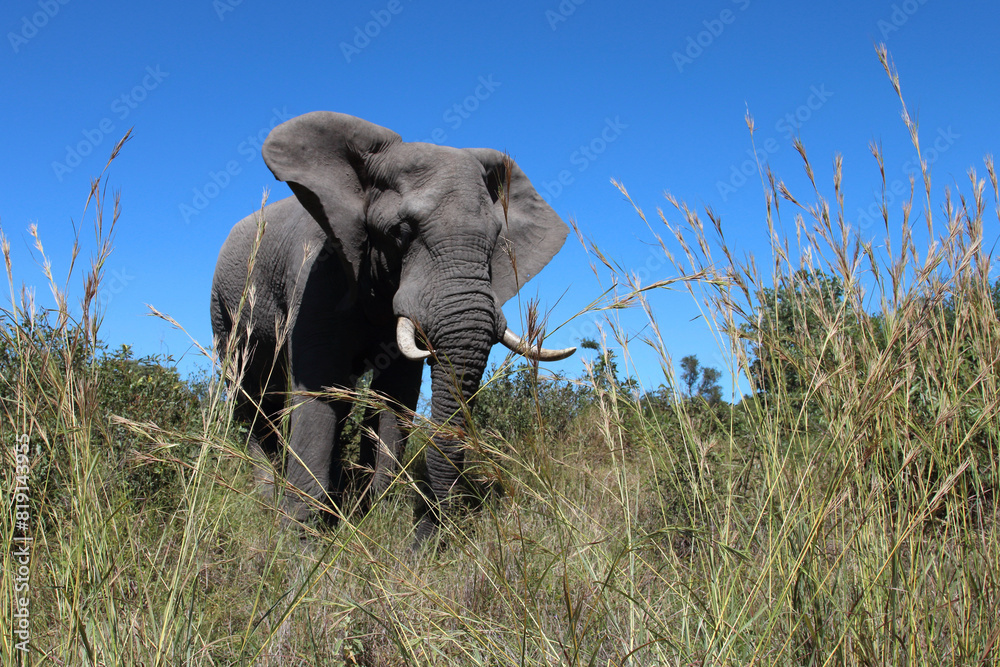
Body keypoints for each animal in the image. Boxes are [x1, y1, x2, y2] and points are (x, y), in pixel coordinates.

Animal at [210, 111, 575, 544]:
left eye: (495, 239)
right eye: (400, 232)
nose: (422, 543)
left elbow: (394, 399)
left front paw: (373, 518)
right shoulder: (316, 275)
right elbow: (318, 393)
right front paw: (299, 542)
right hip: (226, 310)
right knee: (252, 398)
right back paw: (268, 497)